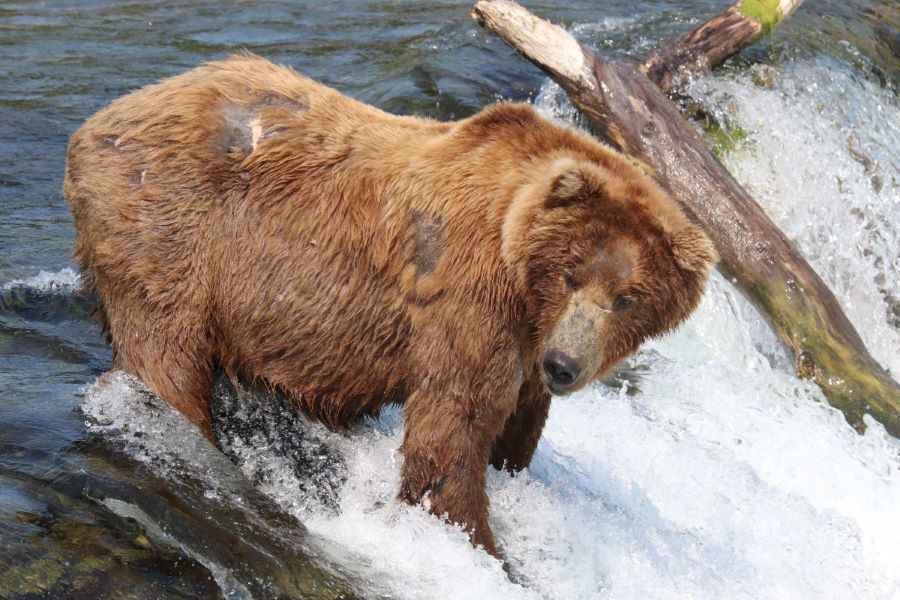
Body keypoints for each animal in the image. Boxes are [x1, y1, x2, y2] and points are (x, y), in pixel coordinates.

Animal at [63, 54, 716, 556]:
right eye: (571, 274)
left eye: (628, 298)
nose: (565, 365)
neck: (523, 284)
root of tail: (97, 120)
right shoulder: (472, 302)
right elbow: (450, 435)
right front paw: (480, 546)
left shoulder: (526, 346)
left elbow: (515, 433)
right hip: (168, 230)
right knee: (165, 356)